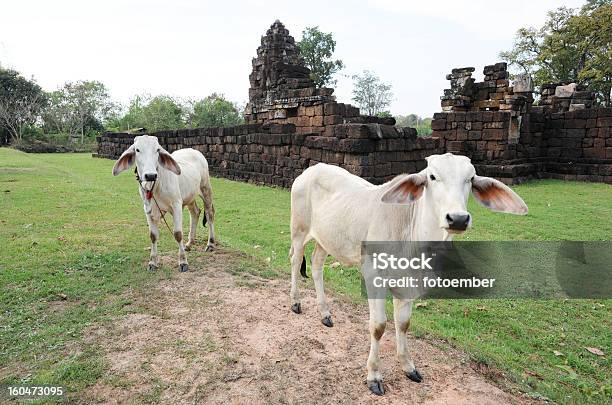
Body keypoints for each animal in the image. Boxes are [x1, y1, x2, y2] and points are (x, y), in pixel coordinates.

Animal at [112, 135, 215, 272]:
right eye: (137, 150)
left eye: (157, 150)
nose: (150, 175)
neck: (155, 186)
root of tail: (194, 151)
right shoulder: (148, 209)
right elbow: (153, 235)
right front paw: (152, 262)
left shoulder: (176, 205)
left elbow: (178, 234)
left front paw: (183, 262)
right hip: (190, 196)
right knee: (195, 212)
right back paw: (189, 244)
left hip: (206, 189)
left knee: (209, 214)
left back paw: (210, 244)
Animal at [290, 154, 528, 394]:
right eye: (432, 176)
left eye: (470, 178)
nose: (458, 219)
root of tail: (310, 171)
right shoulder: (373, 276)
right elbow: (378, 326)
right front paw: (374, 375)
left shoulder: (408, 285)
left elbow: (403, 324)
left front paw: (408, 366)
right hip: (299, 231)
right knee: (295, 261)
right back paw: (296, 302)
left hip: (326, 240)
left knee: (316, 265)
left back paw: (325, 314)